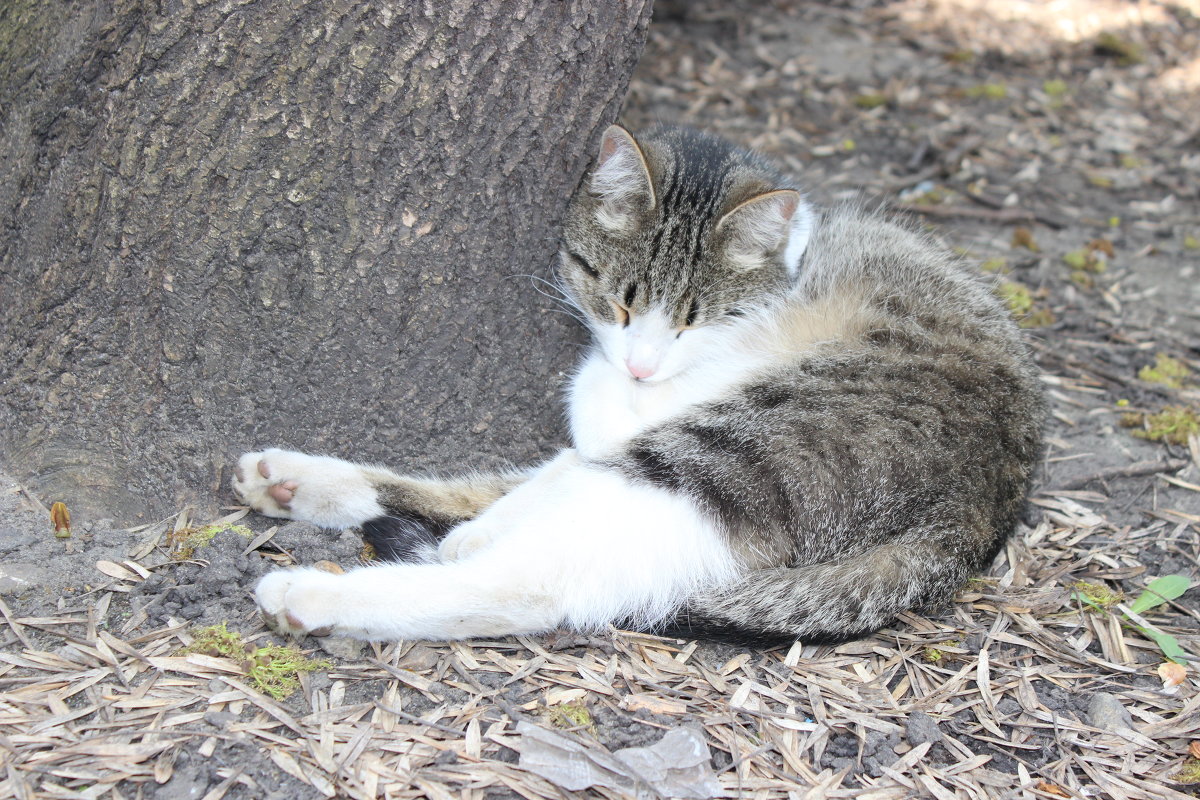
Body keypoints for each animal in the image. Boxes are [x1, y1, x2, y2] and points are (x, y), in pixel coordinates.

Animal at [231, 126, 1041, 652]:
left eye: (695, 319)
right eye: (619, 302)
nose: (643, 364)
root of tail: (973, 523)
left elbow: (576, 434)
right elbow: (549, 459)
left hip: (735, 453)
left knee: (535, 581)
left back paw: (317, 596)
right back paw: (300, 482)